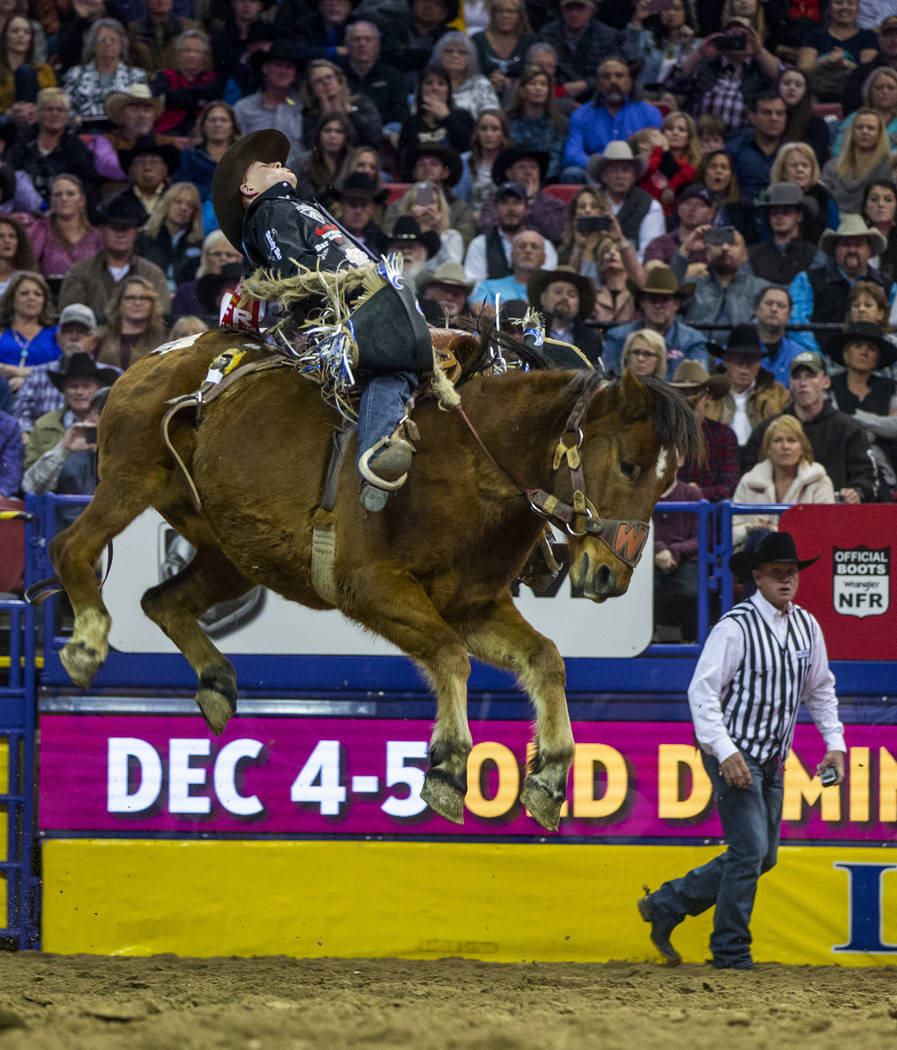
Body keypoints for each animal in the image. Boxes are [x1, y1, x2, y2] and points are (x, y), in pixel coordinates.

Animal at [49, 327, 705, 827]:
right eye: (629, 464)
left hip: (232, 555)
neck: (472, 458)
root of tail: (158, 357)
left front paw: (550, 775)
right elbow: (448, 654)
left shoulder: (473, 604)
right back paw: (85, 642)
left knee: (162, 601)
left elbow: (544, 659)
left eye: (668, 480)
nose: (610, 574)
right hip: (130, 479)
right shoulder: (370, 587)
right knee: (69, 547)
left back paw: (214, 683)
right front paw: (447, 765)